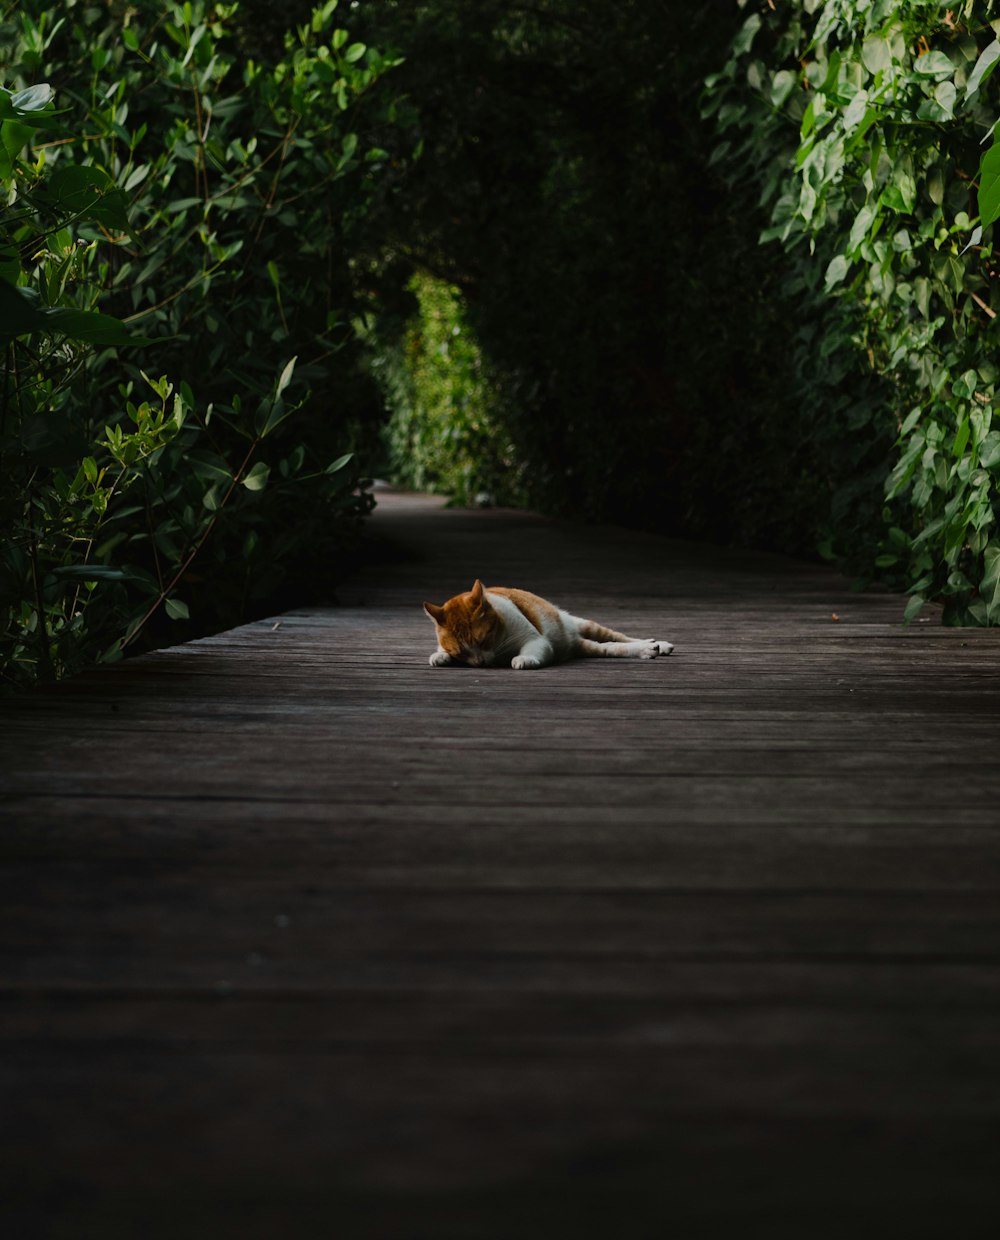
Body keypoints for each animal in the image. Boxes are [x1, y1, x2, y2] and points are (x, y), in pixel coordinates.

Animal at [421, 577, 674, 669]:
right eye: (460, 652)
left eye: (483, 641)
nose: (479, 663)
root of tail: (573, 640)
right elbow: (439, 652)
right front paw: (440, 656)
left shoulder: (535, 639)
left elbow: (531, 649)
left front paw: (523, 659)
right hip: (590, 644)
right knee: (610, 648)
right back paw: (650, 648)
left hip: (587, 626)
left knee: (618, 637)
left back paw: (655, 645)